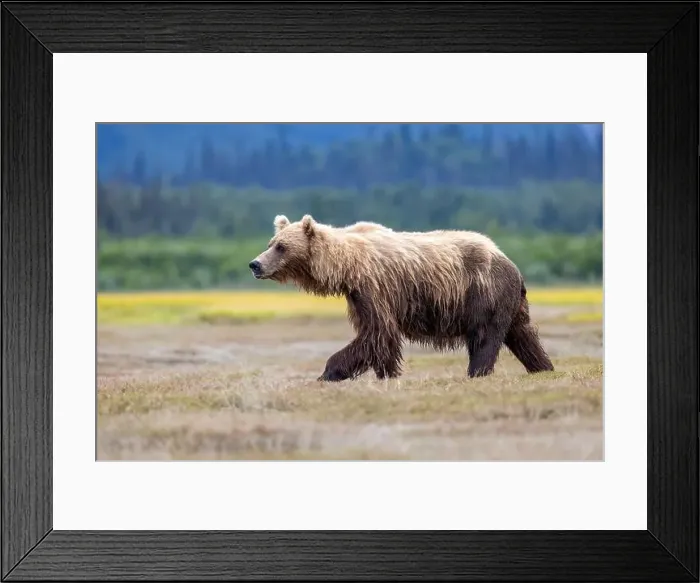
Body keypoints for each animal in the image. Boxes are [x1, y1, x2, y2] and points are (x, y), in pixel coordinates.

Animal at [248, 214, 554, 382]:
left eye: (281, 246)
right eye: (270, 243)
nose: (255, 264)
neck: (347, 267)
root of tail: (509, 261)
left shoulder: (375, 287)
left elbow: (378, 331)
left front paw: (327, 372)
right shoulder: (358, 295)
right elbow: (379, 337)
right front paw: (387, 373)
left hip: (483, 293)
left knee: (485, 337)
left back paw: (477, 372)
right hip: (510, 302)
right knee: (522, 334)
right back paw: (543, 367)